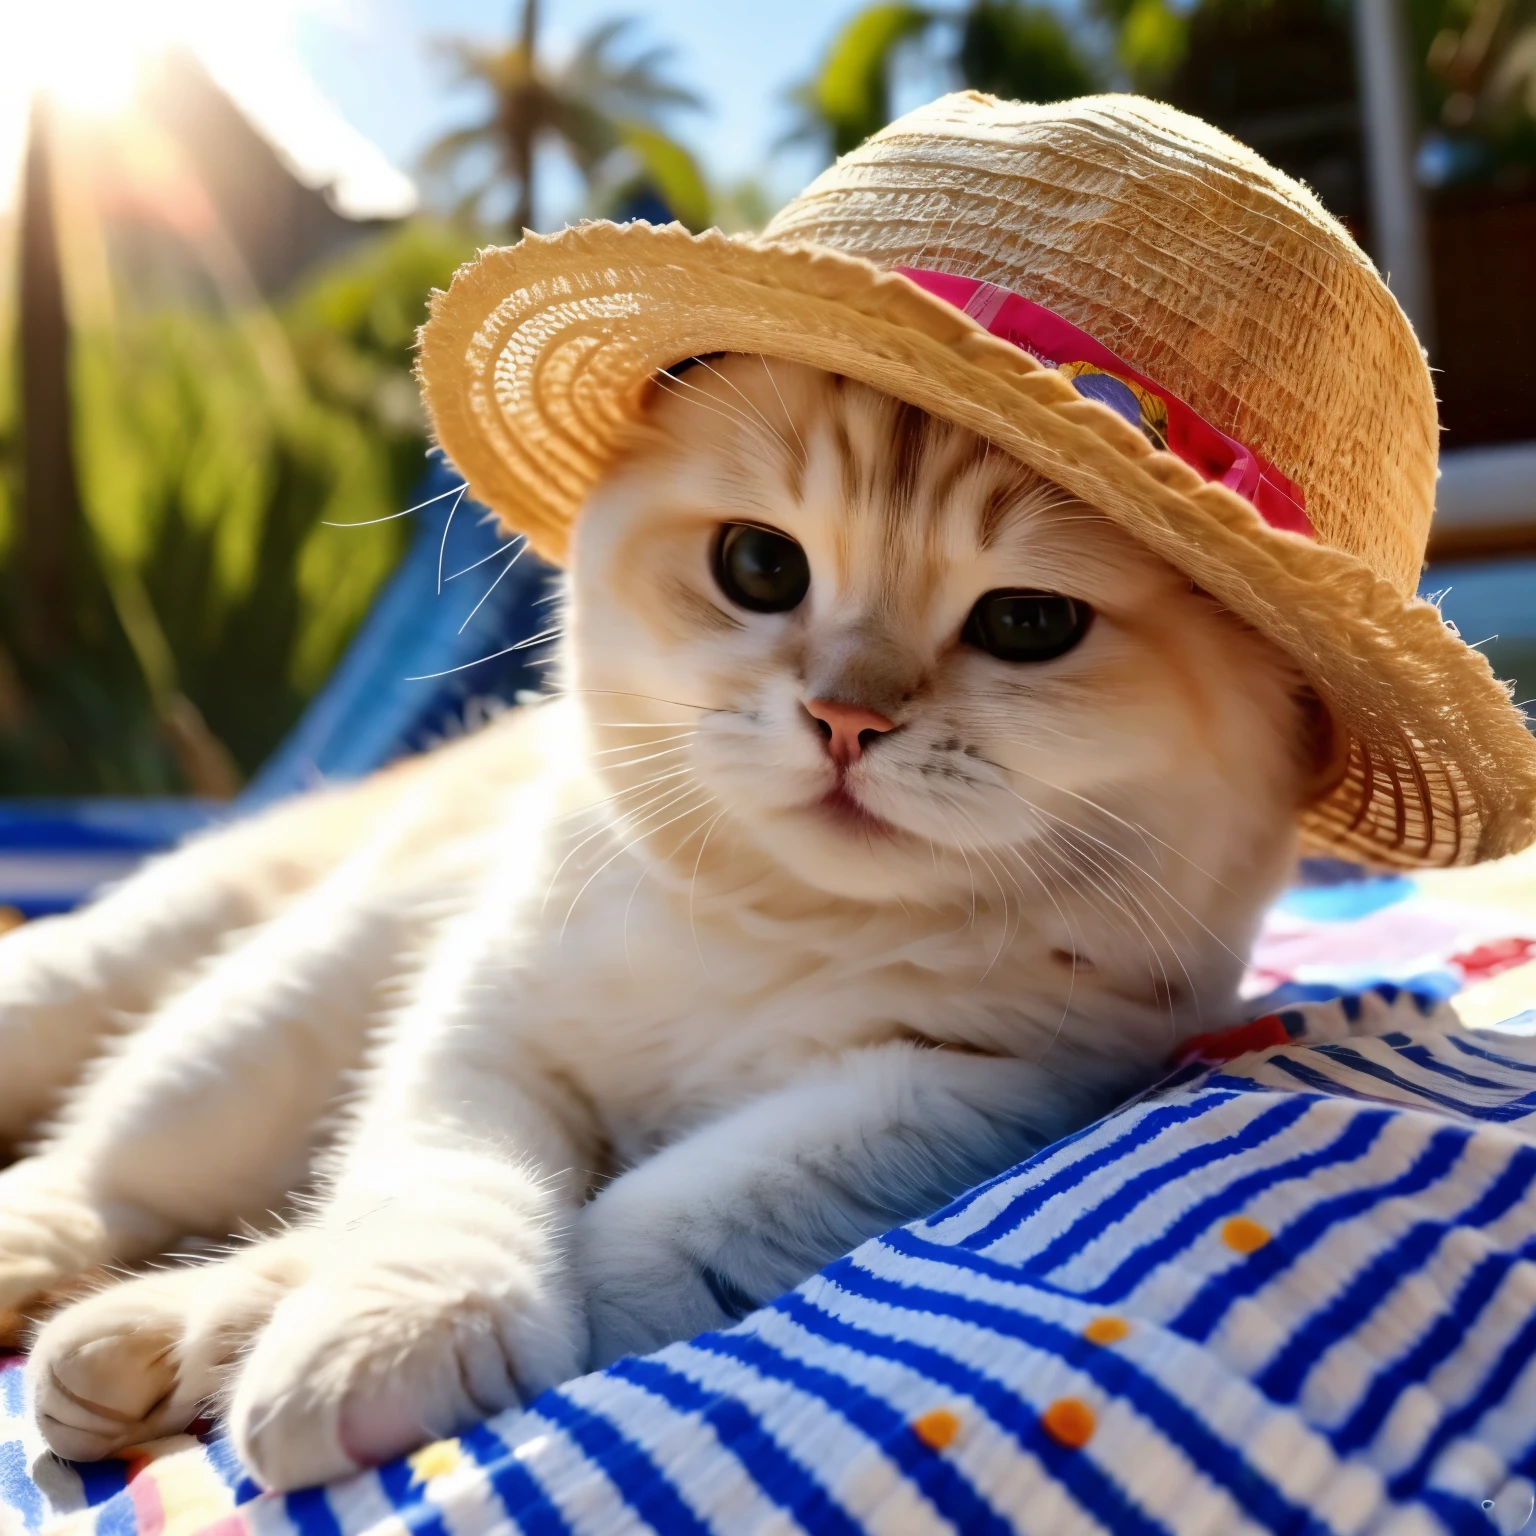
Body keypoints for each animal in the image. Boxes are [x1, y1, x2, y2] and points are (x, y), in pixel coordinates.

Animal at [0, 356, 1314, 1486]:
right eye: (761, 566)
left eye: (1029, 625)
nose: (845, 717)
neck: (782, 923)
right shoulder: (484, 1013)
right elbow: (439, 1183)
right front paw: (395, 1327)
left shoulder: (965, 1090)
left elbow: (656, 1226)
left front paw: (241, 1331)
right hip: (251, 1012)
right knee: (96, 1161)